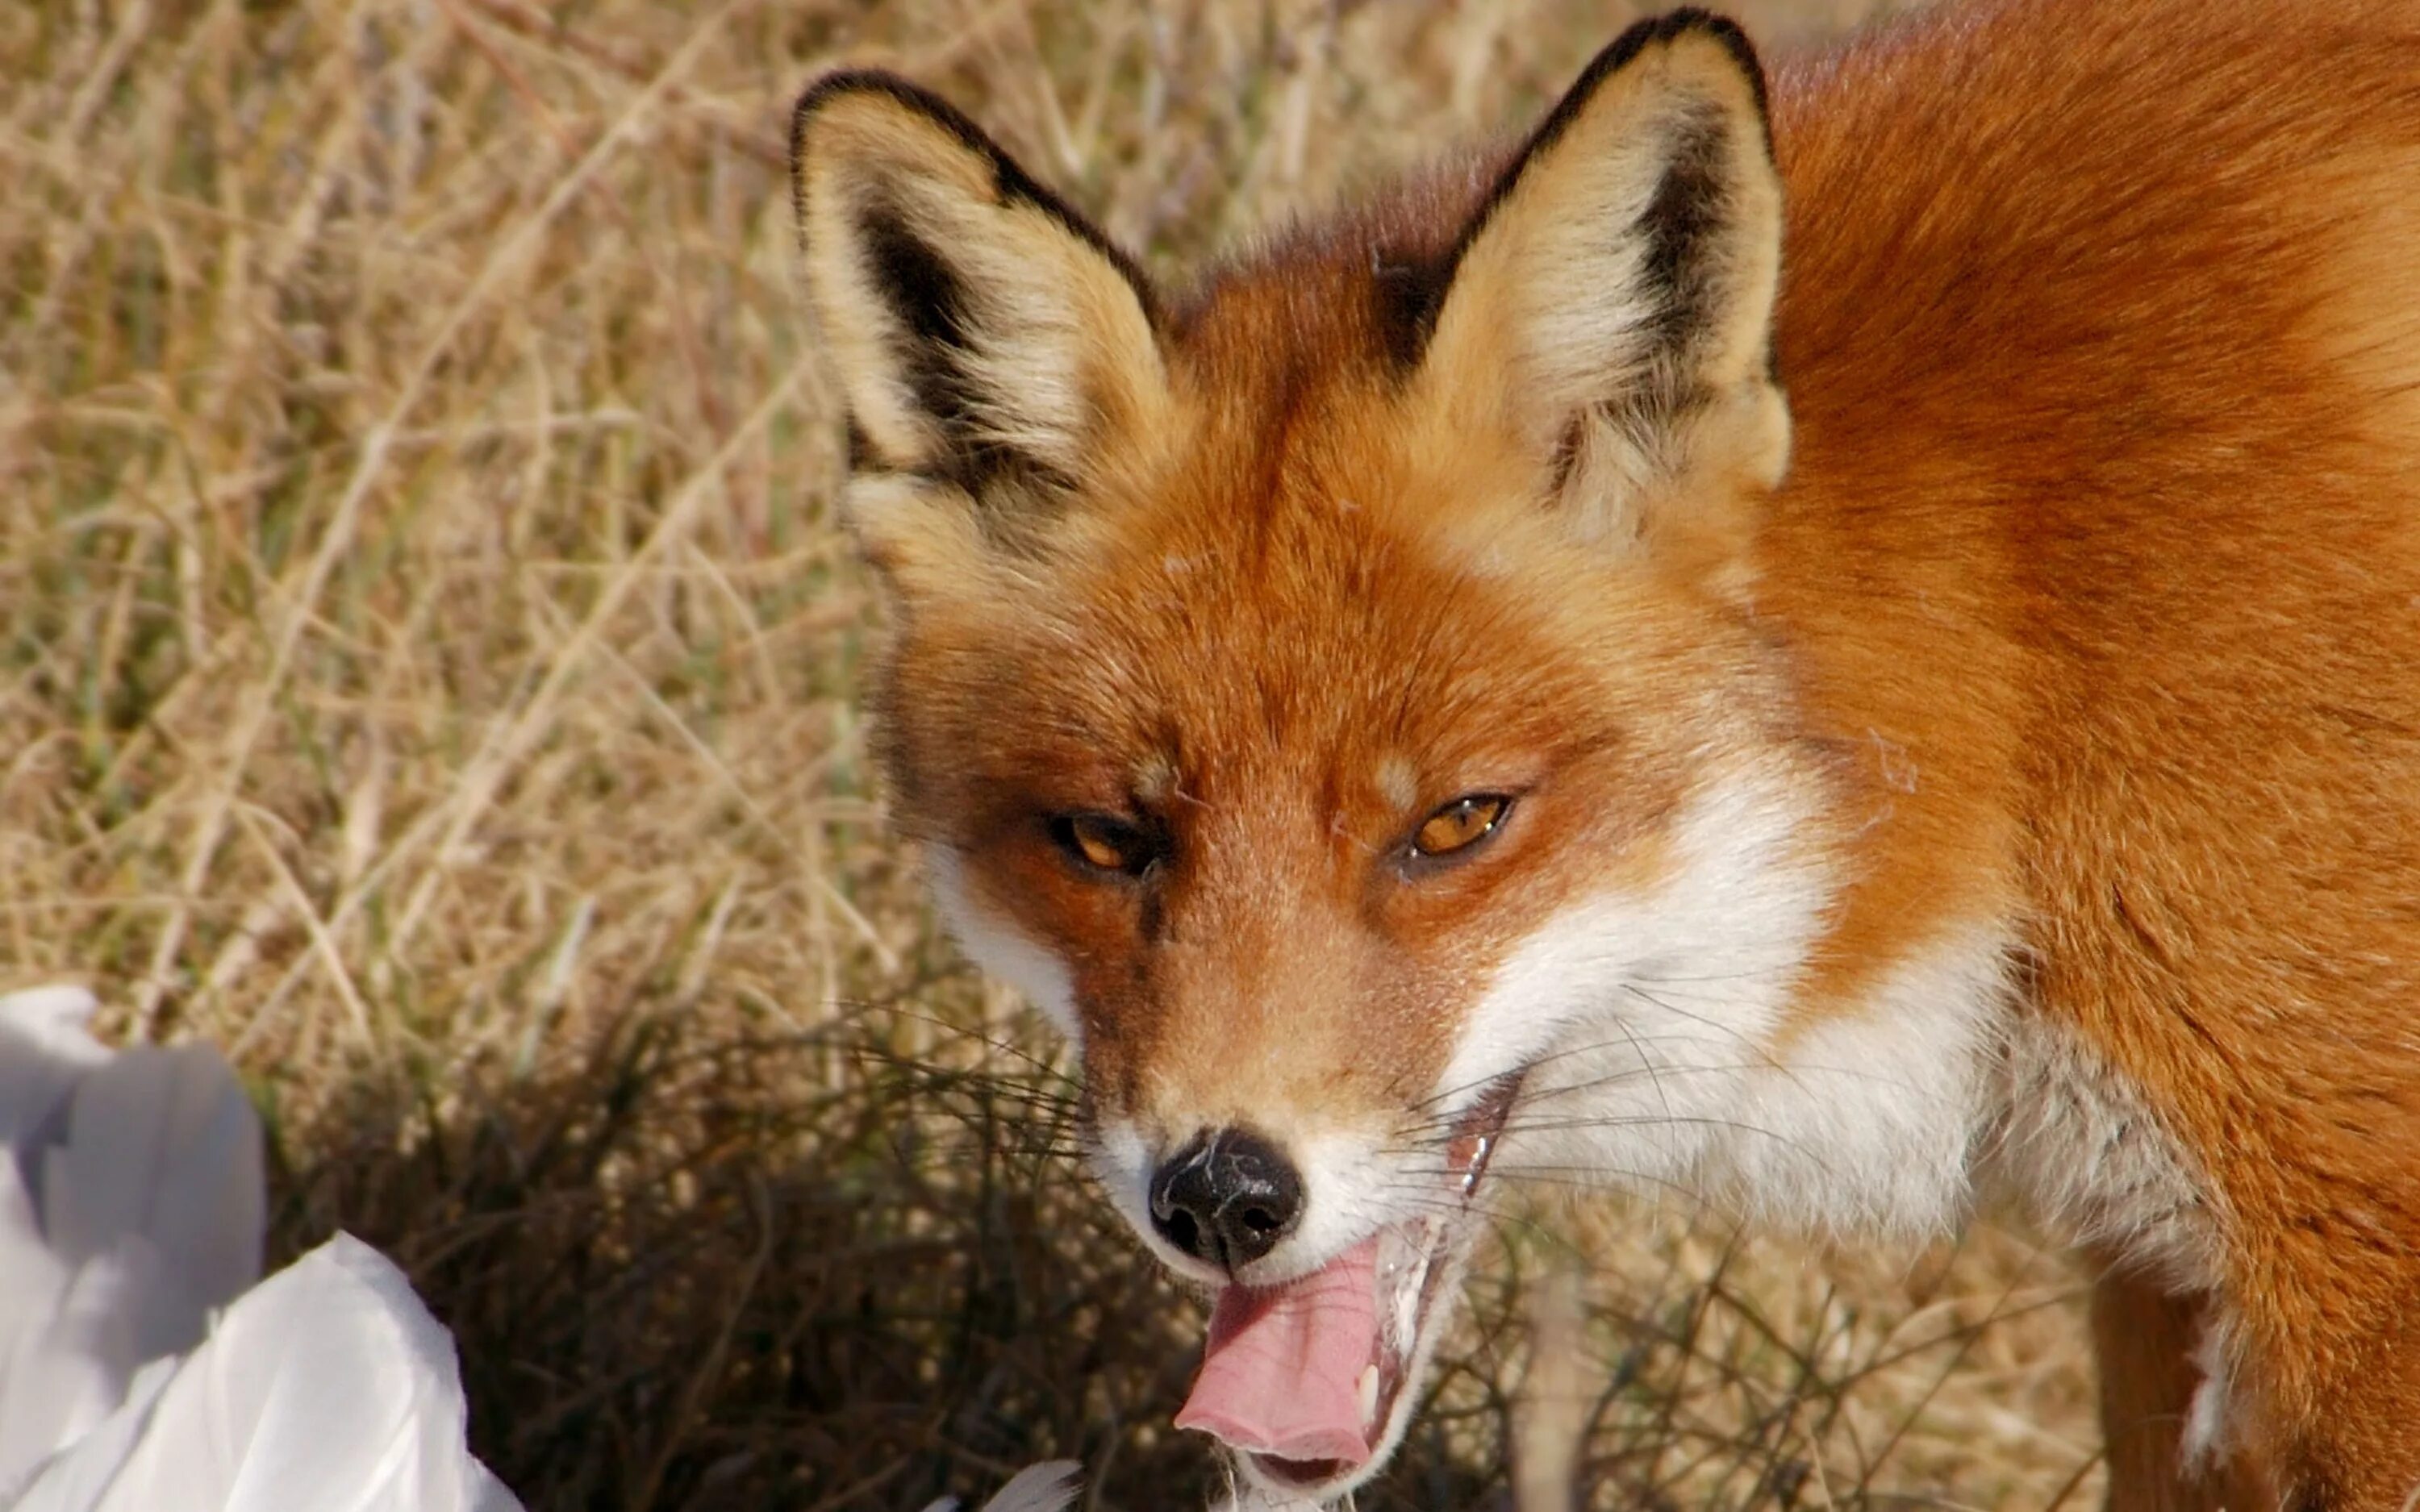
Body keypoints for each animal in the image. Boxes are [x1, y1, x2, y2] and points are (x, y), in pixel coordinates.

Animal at [789, 0, 2420, 1500]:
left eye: (1459, 822)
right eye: (1107, 839)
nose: (1222, 1197)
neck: (2016, 620)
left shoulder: (2354, 1252)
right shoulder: (2155, 1273)